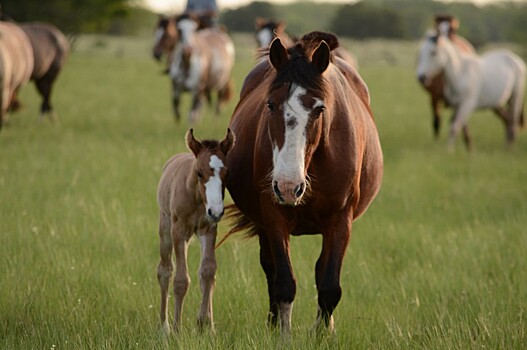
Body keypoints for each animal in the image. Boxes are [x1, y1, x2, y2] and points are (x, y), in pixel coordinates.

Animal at [157, 128, 235, 334]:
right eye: (199, 172)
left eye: (227, 172)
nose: (216, 211)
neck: (196, 197)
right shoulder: (178, 231)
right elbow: (180, 280)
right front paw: (177, 329)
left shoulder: (209, 229)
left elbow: (207, 272)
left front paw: (205, 325)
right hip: (166, 229)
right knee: (164, 270)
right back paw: (164, 326)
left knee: (203, 274)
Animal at [224, 32, 384, 336]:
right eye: (270, 104)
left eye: (319, 109)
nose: (289, 187)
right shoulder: (273, 217)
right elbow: (284, 282)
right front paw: (283, 334)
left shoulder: (341, 220)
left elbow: (330, 286)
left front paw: (321, 335)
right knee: (270, 268)